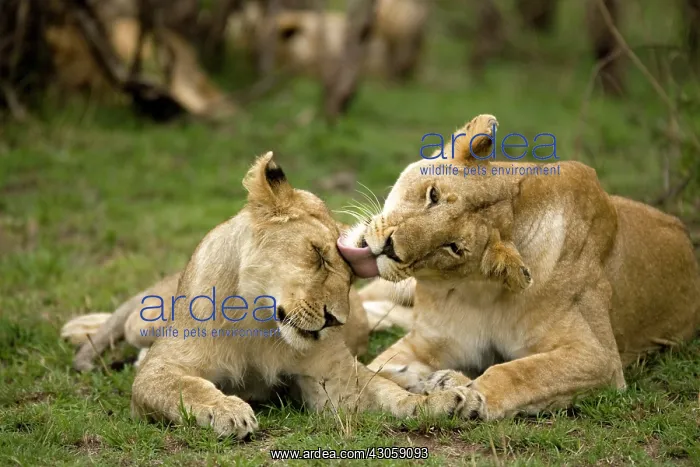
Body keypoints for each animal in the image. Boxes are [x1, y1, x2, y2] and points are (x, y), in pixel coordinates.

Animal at [340, 114, 700, 420]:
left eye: (453, 247)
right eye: (433, 195)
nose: (391, 248)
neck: (475, 292)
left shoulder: (600, 356)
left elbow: (520, 371)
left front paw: (465, 391)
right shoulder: (422, 343)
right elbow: (380, 368)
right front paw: (436, 381)